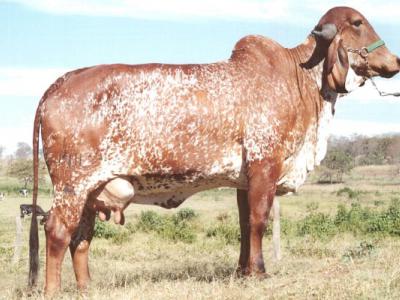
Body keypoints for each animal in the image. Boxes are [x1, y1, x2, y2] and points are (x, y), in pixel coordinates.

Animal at [27, 6, 396, 296]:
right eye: (358, 22)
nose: (395, 61)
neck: (300, 80)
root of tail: (59, 84)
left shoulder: (245, 180)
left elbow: (245, 224)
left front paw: (244, 271)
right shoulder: (265, 167)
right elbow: (258, 220)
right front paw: (259, 272)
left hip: (91, 191)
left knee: (81, 237)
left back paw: (86, 288)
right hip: (72, 184)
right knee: (57, 231)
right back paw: (53, 290)